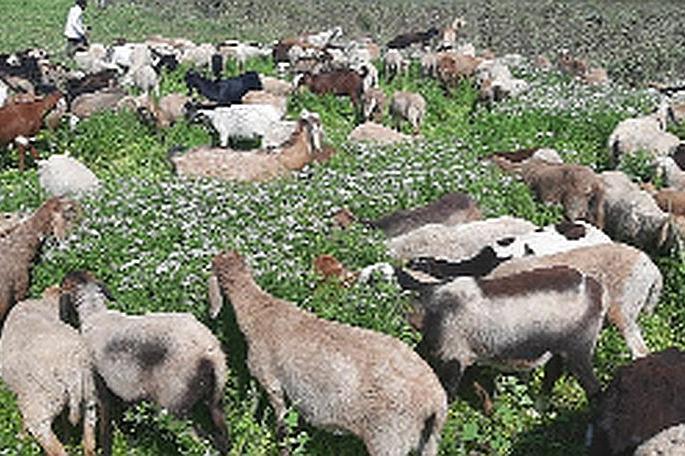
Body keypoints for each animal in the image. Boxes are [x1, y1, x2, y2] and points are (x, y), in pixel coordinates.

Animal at [0, 286, 96, 456]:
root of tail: (73, 368)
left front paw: (23, 436)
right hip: (89, 396)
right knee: (89, 441)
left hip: (41, 403)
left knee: (54, 447)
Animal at [58, 271, 230, 455]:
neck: (94, 313)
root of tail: (211, 353)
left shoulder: (101, 387)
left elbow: (105, 430)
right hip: (215, 400)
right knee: (221, 438)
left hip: (174, 404)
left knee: (199, 440)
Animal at [208, 250, 447, 456]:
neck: (258, 311)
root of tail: (435, 401)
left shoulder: (270, 381)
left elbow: (281, 423)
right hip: (428, 442)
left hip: (388, 439)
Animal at [410, 265, 606, 401]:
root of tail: (596, 290)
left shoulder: (454, 355)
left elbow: (448, 393)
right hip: (559, 350)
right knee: (551, 376)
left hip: (578, 348)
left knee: (593, 388)